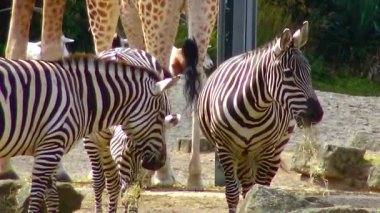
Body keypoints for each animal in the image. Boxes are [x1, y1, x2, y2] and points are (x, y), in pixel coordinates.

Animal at [0, 47, 184, 212]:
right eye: (160, 116)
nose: (159, 162)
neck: (82, 96)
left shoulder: (47, 146)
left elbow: (51, 196)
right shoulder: (55, 146)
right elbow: (40, 195)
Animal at [85, 0, 217, 190]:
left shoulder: (109, 8)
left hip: (154, 16)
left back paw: (154, 175)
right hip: (204, 13)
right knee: (198, 83)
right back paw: (193, 177)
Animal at [197, 21, 326, 211]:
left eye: (309, 72)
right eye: (288, 74)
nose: (317, 114)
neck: (252, 112)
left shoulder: (266, 149)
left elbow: (261, 190)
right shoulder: (225, 148)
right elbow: (232, 193)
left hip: (275, 148)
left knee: (261, 184)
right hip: (243, 154)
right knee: (246, 187)